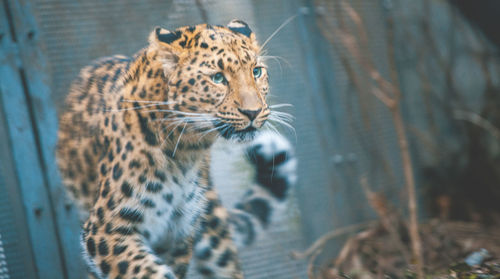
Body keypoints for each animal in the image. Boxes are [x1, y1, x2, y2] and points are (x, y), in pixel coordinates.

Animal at [55, 19, 296, 279]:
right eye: (217, 78)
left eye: (256, 71)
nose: (253, 112)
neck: (185, 151)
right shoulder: (106, 231)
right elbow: (147, 271)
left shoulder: (177, 236)